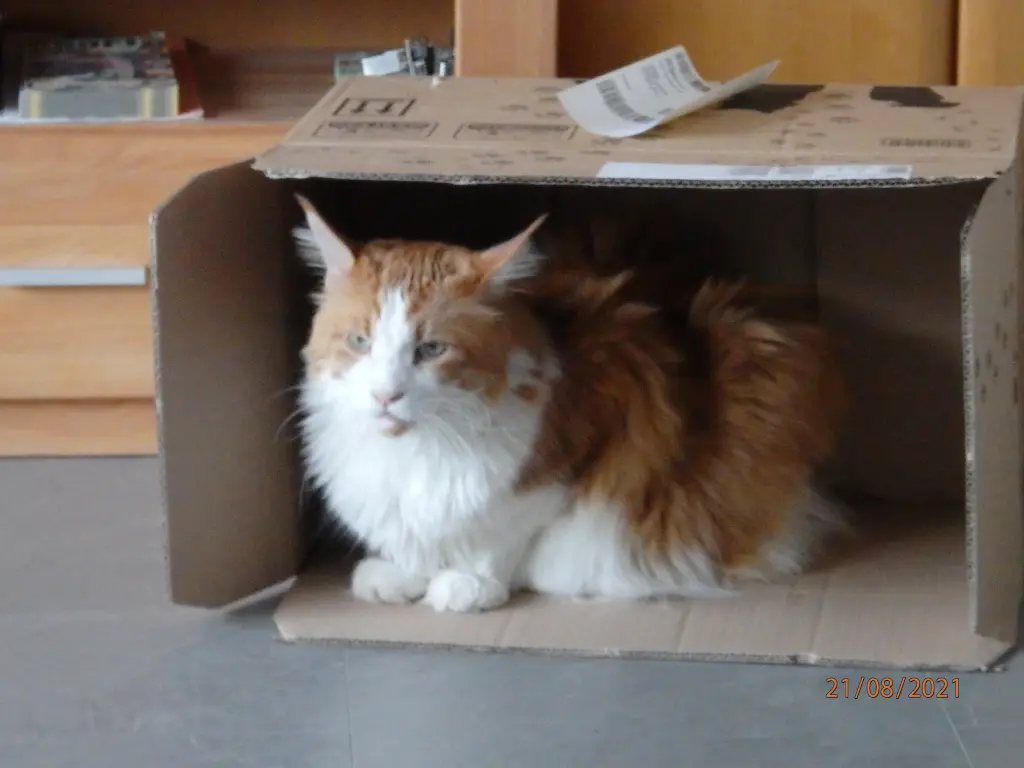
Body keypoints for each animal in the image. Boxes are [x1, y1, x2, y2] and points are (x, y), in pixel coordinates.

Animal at [293, 194, 847, 613]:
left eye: (431, 350)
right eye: (360, 342)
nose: (385, 394)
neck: (416, 451)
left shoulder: (569, 462)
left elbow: (499, 534)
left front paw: (468, 583)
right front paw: (402, 573)